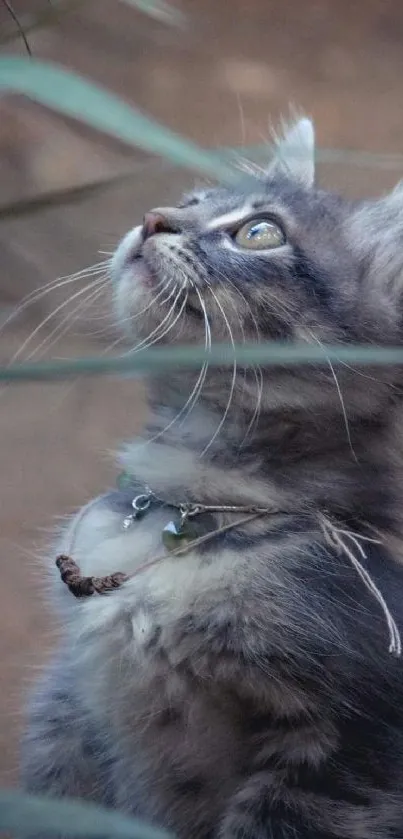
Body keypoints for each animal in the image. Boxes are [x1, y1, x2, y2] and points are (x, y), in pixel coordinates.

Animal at [21, 120, 403, 839]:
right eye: (192, 200)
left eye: (259, 232)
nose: (152, 218)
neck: (185, 500)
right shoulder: (70, 712)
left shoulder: (349, 750)